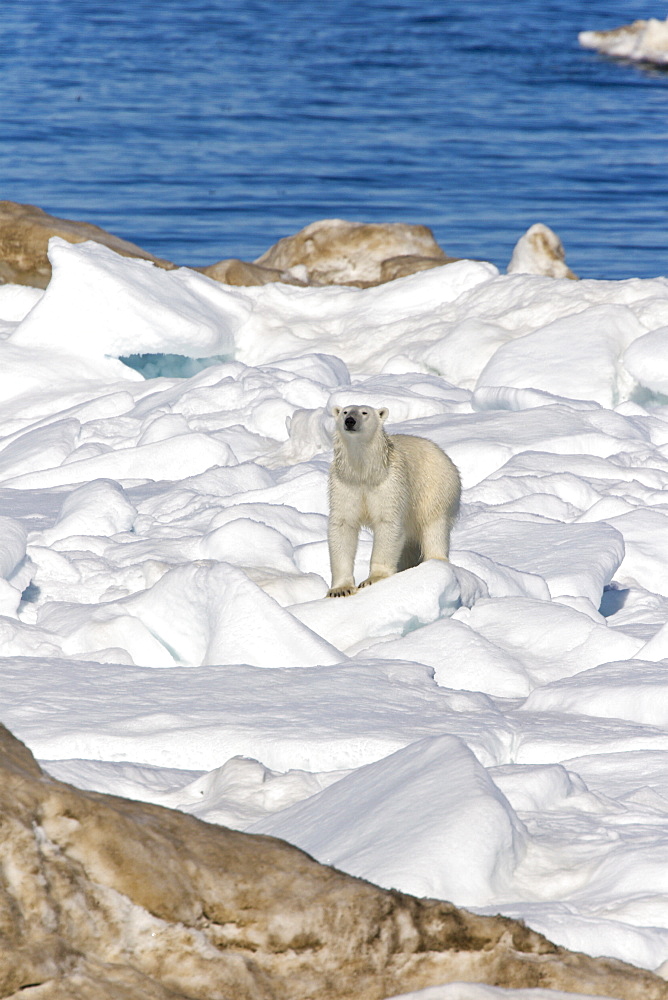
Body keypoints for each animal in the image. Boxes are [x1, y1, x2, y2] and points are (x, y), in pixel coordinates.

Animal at [326, 404, 462, 596]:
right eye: (345, 411)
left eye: (364, 412)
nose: (350, 421)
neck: (365, 473)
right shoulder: (345, 485)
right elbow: (343, 525)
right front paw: (340, 589)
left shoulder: (390, 483)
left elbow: (387, 522)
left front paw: (373, 579)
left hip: (435, 488)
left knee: (434, 525)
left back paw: (435, 560)